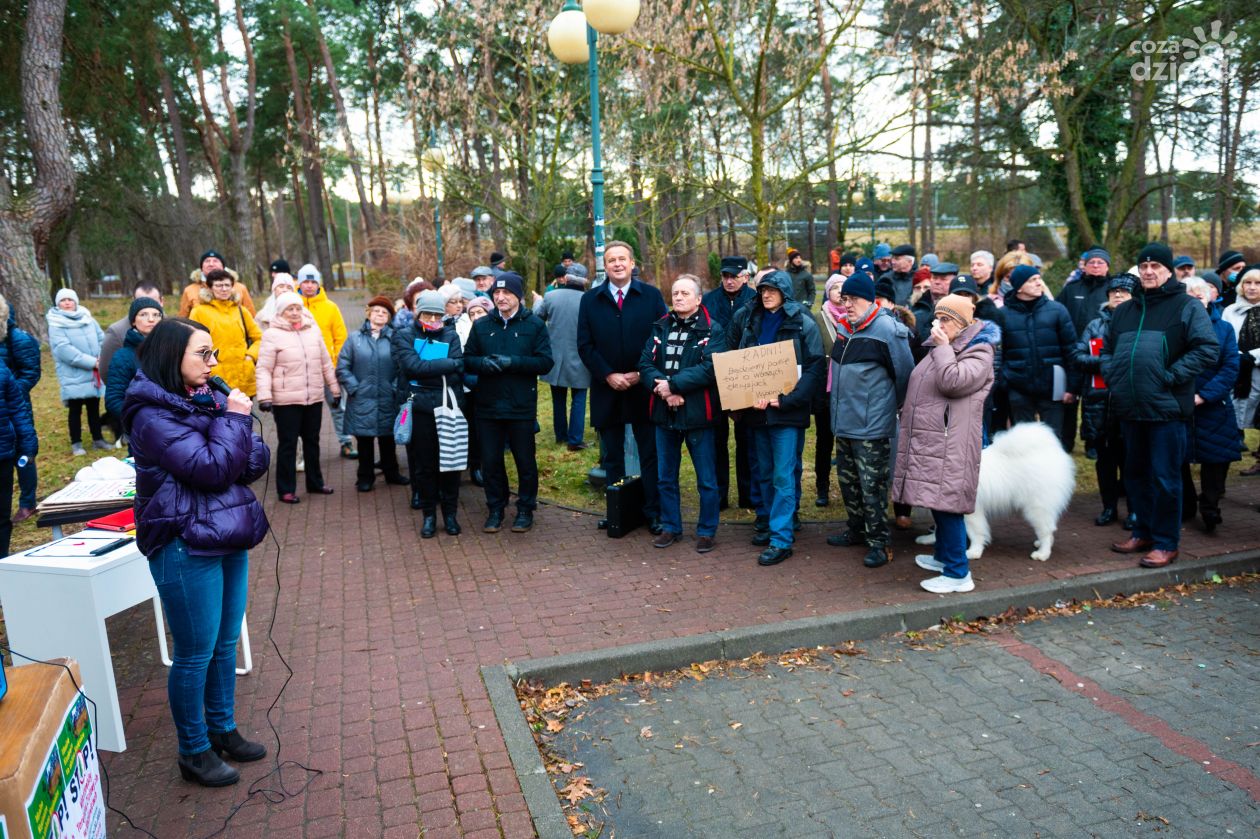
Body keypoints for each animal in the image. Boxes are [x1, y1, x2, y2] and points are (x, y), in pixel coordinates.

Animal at [912, 420, 1078, 559]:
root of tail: (1053, 450)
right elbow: (940, 528)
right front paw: (929, 539)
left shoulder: (970, 511)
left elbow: (975, 532)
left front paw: (974, 552)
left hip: (1036, 506)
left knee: (1047, 530)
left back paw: (1042, 553)